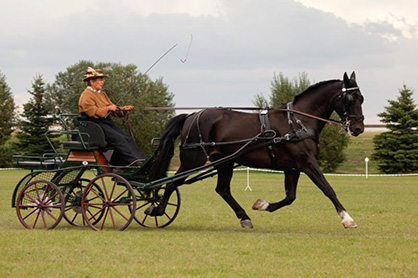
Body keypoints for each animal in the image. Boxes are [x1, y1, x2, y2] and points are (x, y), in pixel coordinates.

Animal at [149, 71, 364, 228]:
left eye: (361, 98)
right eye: (350, 99)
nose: (358, 129)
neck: (297, 121)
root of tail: (191, 116)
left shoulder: (293, 167)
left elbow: (290, 197)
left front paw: (263, 205)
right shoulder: (307, 163)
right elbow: (328, 189)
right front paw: (347, 218)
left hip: (225, 162)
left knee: (222, 189)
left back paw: (244, 217)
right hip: (192, 159)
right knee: (171, 183)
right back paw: (156, 209)